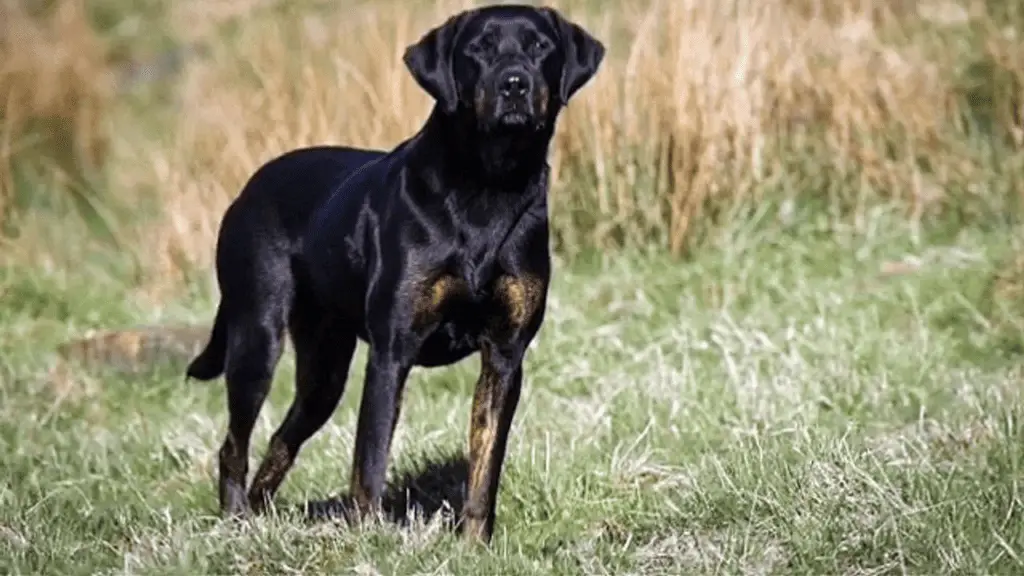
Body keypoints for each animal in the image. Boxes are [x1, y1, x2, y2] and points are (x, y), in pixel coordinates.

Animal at [186, 5, 598, 541]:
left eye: (540, 47)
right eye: (479, 49)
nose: (515, 84)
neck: (488, 185)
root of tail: (247, 189)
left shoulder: (506, 355)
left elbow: (485, 465)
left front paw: (474, 546)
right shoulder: (392, 349)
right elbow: (371, 458)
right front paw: (368, 539)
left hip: (324, 370)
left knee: (282, 438)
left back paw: (261, 518)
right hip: (257, 335)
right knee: (235, 444)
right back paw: (237, 521)